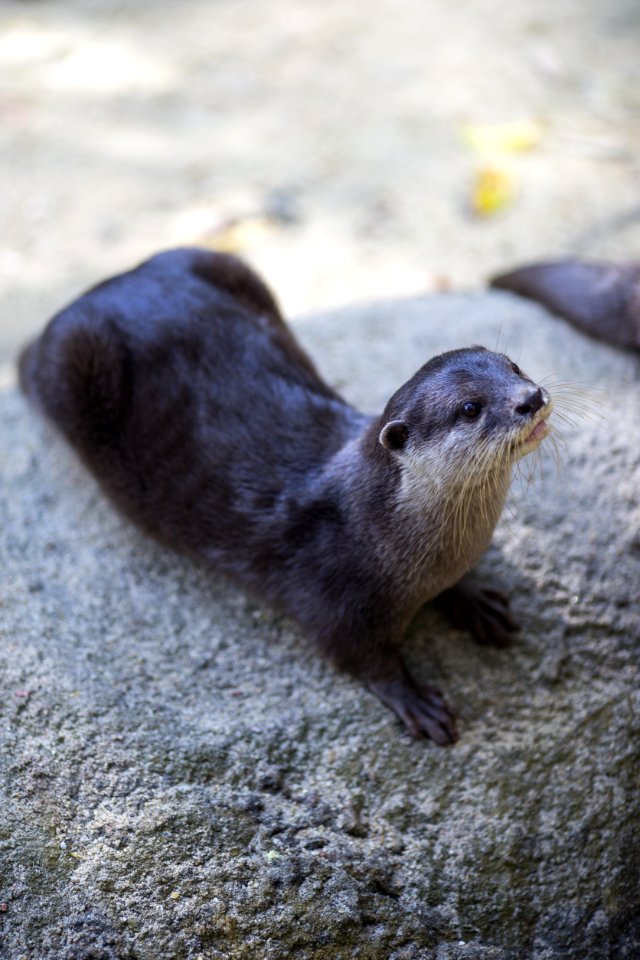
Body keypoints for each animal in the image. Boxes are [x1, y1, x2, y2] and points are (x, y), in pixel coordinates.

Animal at [17, 248, 552, 744]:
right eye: (470, 408)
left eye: (514, 366)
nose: (532, 397)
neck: (379, 534)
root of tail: (110, 284)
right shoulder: (333, 598)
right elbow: (360, 657)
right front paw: (413, 699)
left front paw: (472, 599)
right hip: (74, 355)